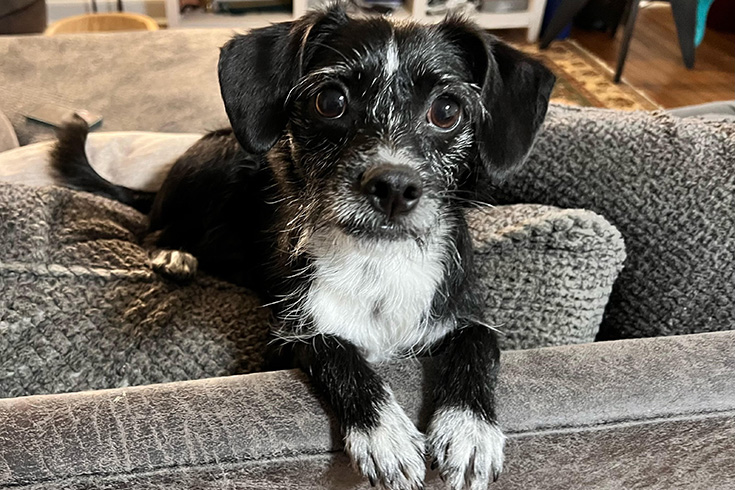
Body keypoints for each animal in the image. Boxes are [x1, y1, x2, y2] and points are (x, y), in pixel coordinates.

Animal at [51, 4, 556, 490]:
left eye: (447, 110)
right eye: (330, 101)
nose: (394, 186)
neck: (376, 260)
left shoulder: (463, 314)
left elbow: (479, 343)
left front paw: (470, 429)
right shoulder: (287, 338)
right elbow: (334, 348)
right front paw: (386, 436)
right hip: (219, 162)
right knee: (152, 228)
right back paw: (172, 254)